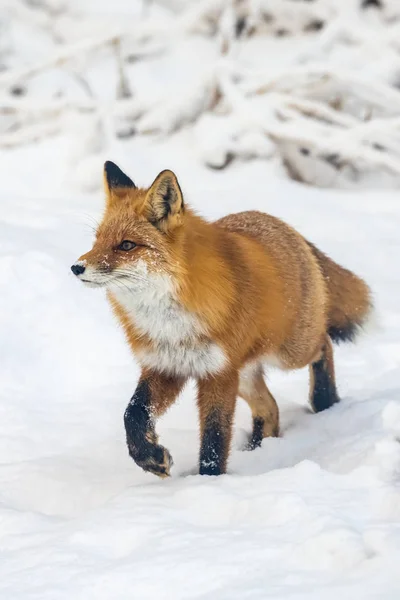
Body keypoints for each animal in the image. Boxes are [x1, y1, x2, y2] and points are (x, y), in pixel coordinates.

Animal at [71, 161, 372, 478]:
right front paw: (150, 458)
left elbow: (214, 436)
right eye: (97, 240)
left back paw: (325, 400)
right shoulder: (165, 365)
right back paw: (258, 449)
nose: (76, 267)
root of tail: (284, 226)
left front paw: (209, 480)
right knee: (270, 408)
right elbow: (133, 413)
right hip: (246, 373)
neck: (171, 324)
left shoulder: (218, 372)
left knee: (324, 343)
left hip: (287, 353)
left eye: (127, 245)